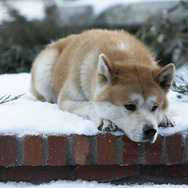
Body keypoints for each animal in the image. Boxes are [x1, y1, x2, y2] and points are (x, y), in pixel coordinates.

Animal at [30, 29, 176, 142]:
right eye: (130, 106)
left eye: (154, 107)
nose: (151, 131)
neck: (127, 58)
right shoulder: (65, 100)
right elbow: (89, 104)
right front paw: (104, 119)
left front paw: (166, 116)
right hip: (44, 71)